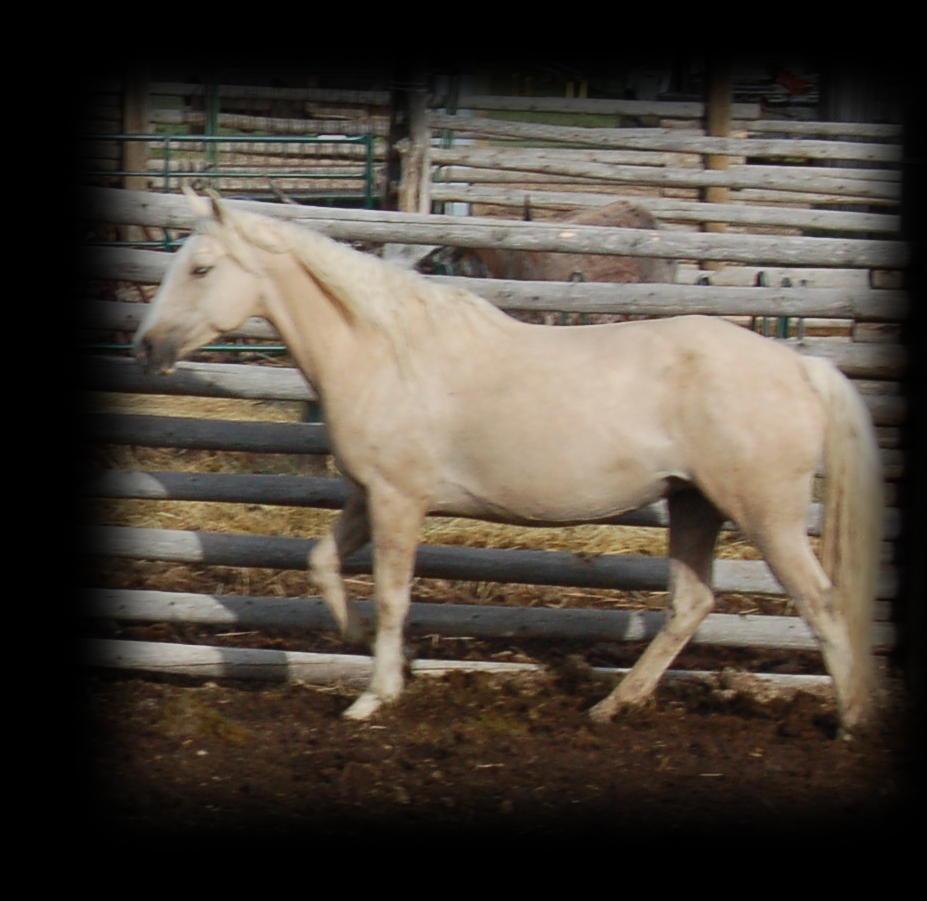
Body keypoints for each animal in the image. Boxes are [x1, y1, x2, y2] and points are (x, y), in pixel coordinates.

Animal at [133, 189, 884, 732]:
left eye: (200, 268)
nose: (145, 346)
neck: (386, 353)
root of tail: (802, 366)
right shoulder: (370, 495)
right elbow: (324, 564)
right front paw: (374, 648)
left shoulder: (399, 499)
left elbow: (393, 593)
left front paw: (374, 695)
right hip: (692, 503)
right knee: (690, 603)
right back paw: (611, 706)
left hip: (764, 514)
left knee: (818, 601)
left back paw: (848, 720)